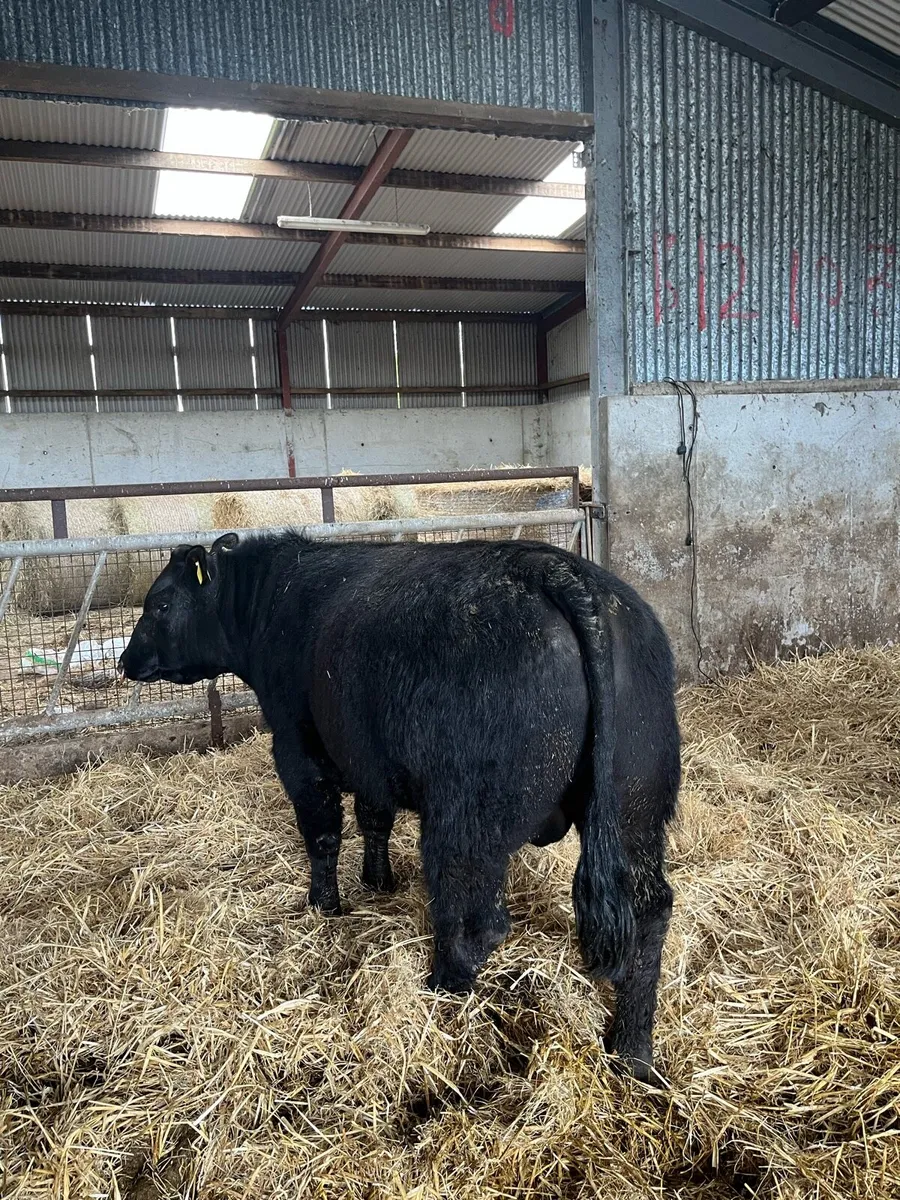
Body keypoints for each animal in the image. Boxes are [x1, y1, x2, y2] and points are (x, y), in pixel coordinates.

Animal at [120, 531, 680, 1081]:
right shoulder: (366, 754)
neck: (277, 596)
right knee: (650, 911)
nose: (125, 661)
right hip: (636, 806)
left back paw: (443, 988)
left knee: (476, 918)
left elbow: (322, 831)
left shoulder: (299, 748)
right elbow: (374, 818)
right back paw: (632, 1052)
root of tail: (558, 570)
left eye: (161, 602)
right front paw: (378, 881)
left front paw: (323, 904)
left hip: (466, 818)